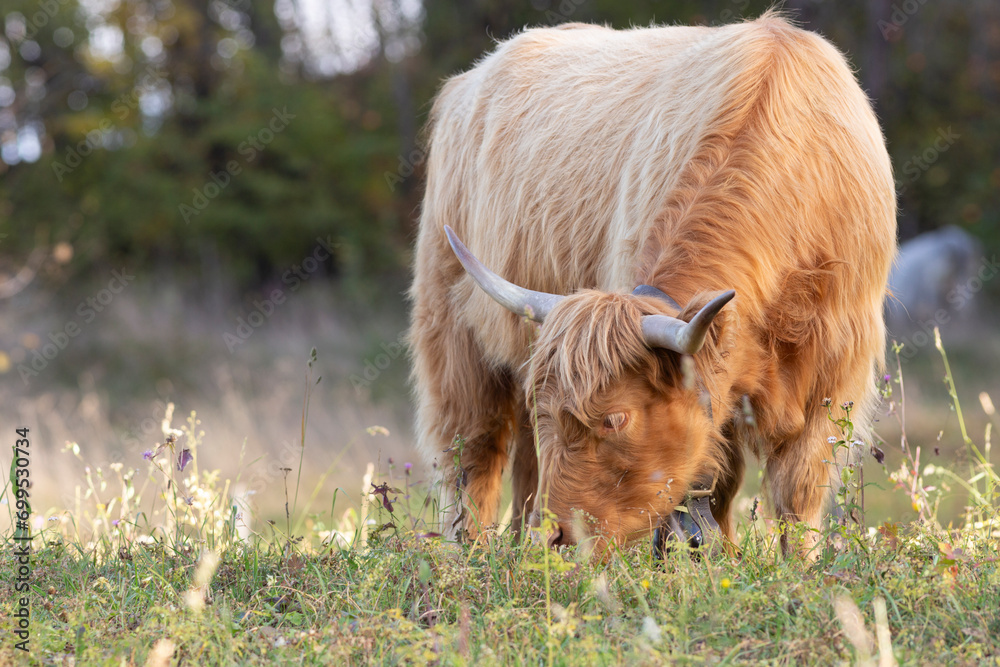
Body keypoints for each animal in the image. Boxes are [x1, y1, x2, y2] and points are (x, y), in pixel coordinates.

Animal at [408, 13, 897, 557]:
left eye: (615, 418)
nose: (556, 537)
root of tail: (472, 76)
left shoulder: (834, 374)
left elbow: (795, 494)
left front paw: (790, 567)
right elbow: (703, 490)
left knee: (523, 470)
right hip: (452, 338)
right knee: (472, 454)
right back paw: (470, 554)